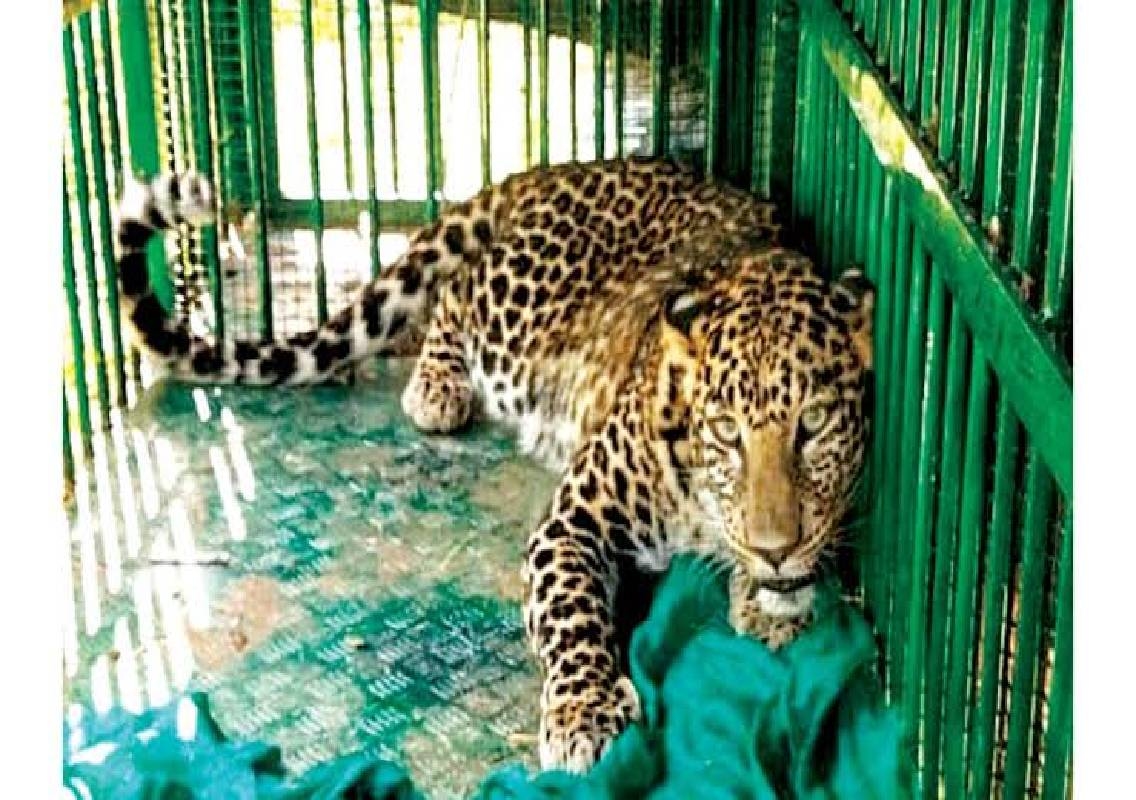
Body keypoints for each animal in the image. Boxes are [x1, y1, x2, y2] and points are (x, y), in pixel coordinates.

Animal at [112, 157, 875, 773]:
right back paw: (435, 388)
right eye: (725, 431)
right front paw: (585, 715)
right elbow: (571, 618)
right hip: (523, 319)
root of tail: (543, 173)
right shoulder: (572, 523)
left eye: (814, 425)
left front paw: (769, 599)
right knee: (454, 295)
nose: (774, 549)